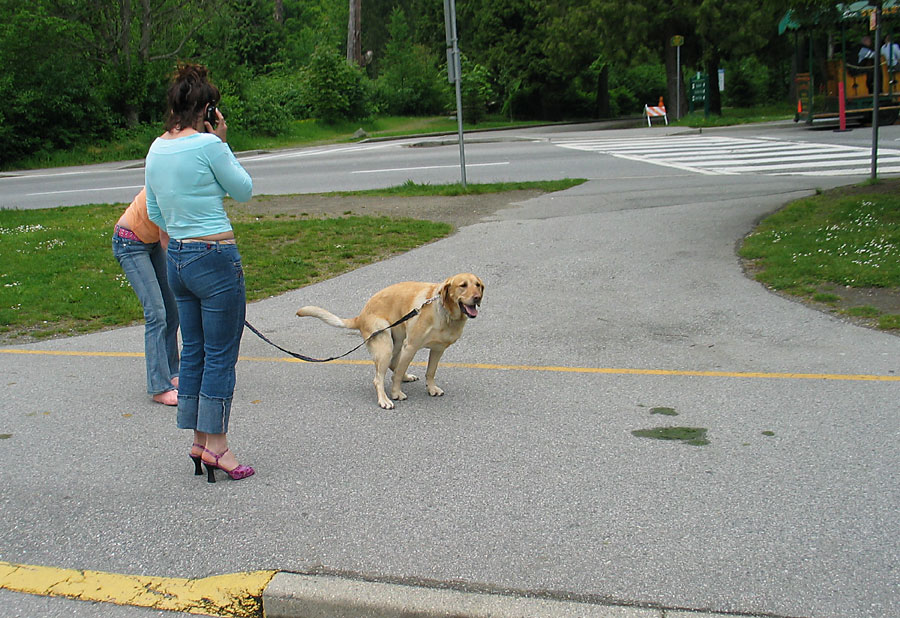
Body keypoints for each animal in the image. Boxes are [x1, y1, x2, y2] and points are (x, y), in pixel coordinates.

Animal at [298, 272, 486, 406]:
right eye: (463, 285)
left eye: (478, 285)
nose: (477, 297)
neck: (445, 313)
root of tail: (361, 316)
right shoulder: (411, 346)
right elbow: (397, 375)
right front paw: (396, 393)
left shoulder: (438, 349)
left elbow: (430, 372)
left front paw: (431, 388)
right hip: (386, 344)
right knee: (380, 377)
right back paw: (384, 399)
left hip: (396, 341)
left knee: (394, 366)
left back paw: (406, 377)